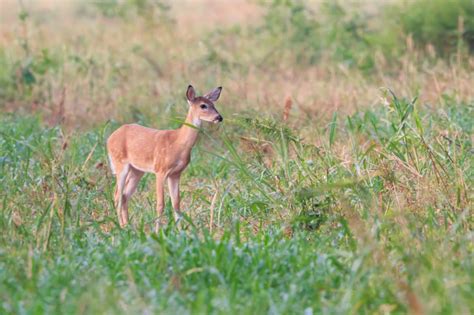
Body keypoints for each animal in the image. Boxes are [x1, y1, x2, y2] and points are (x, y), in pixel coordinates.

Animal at [108, 85, 223, 231]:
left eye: (213, 104)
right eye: (203, 105)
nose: (219, 117)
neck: (178, 143)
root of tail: (110, 137)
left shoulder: (176, 174)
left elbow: (176, 203)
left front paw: (180, 231)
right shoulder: (160, 170)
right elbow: (160, 204)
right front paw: (158, 231)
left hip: (137, 170)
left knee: (124, 195)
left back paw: (128, 226)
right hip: (120, 163)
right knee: (117, 194)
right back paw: (121, 227)